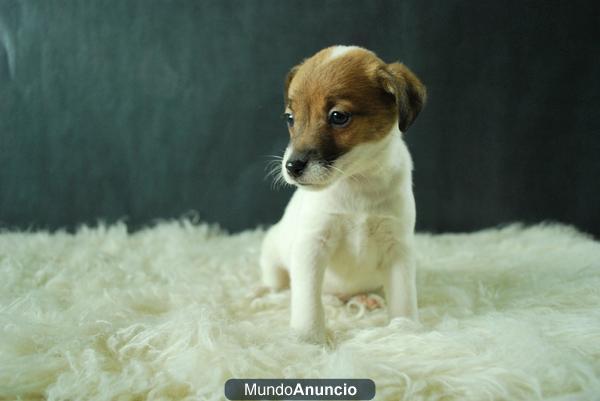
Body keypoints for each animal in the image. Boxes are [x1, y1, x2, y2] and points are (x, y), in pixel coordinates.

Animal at [260, 45, 424, 342]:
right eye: (291, 118)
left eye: (338, 117)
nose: (292, 167)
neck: (357, 181)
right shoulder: (312, 246)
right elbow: (308, 302)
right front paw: (308, 338)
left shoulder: (398, 248)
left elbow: (404, 297)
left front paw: (404, 329)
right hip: (272, 255)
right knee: (281, 285)